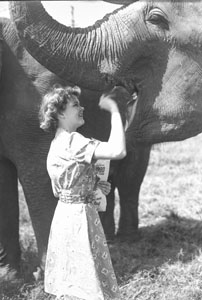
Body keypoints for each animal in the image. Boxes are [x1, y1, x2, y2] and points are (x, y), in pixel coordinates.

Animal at [1, 0, 202, 282]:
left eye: (155, 18)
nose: (116, 93)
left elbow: (39, 175)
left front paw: (44, 278)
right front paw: (9, 277)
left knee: (130, 175)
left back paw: (126, 240)